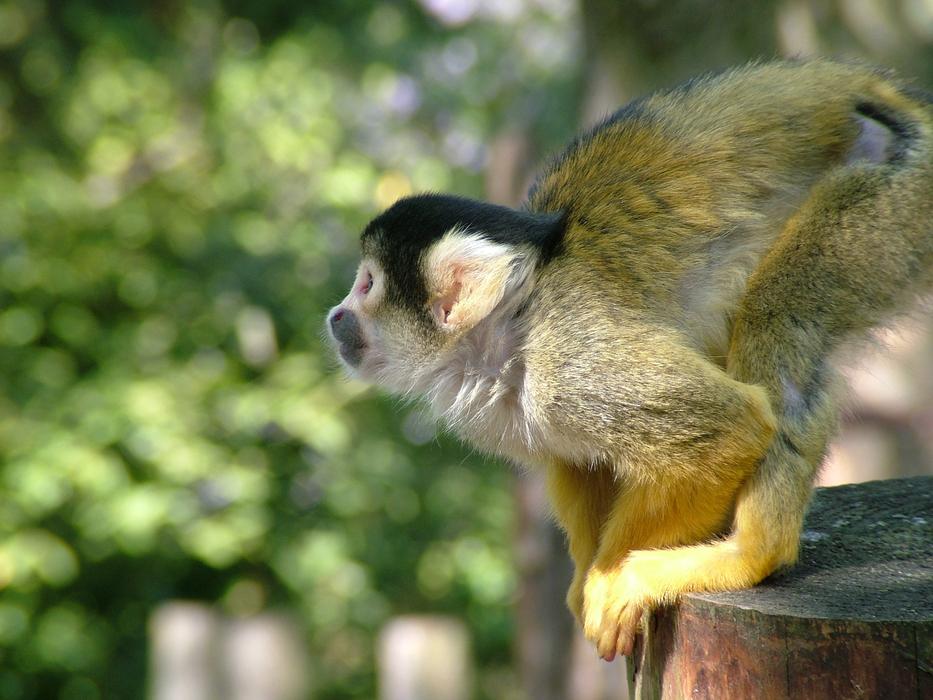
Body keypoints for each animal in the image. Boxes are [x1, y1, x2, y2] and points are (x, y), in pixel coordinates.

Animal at [325, 59, 933, 662]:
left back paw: (751, 553)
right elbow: (579, 460)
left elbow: (729, 426)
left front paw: (611, 576)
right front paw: (585, 577)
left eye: (366, 285)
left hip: (896, 196)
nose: (335, 316)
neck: (509, 332)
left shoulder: (575, 363)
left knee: (781, 314)